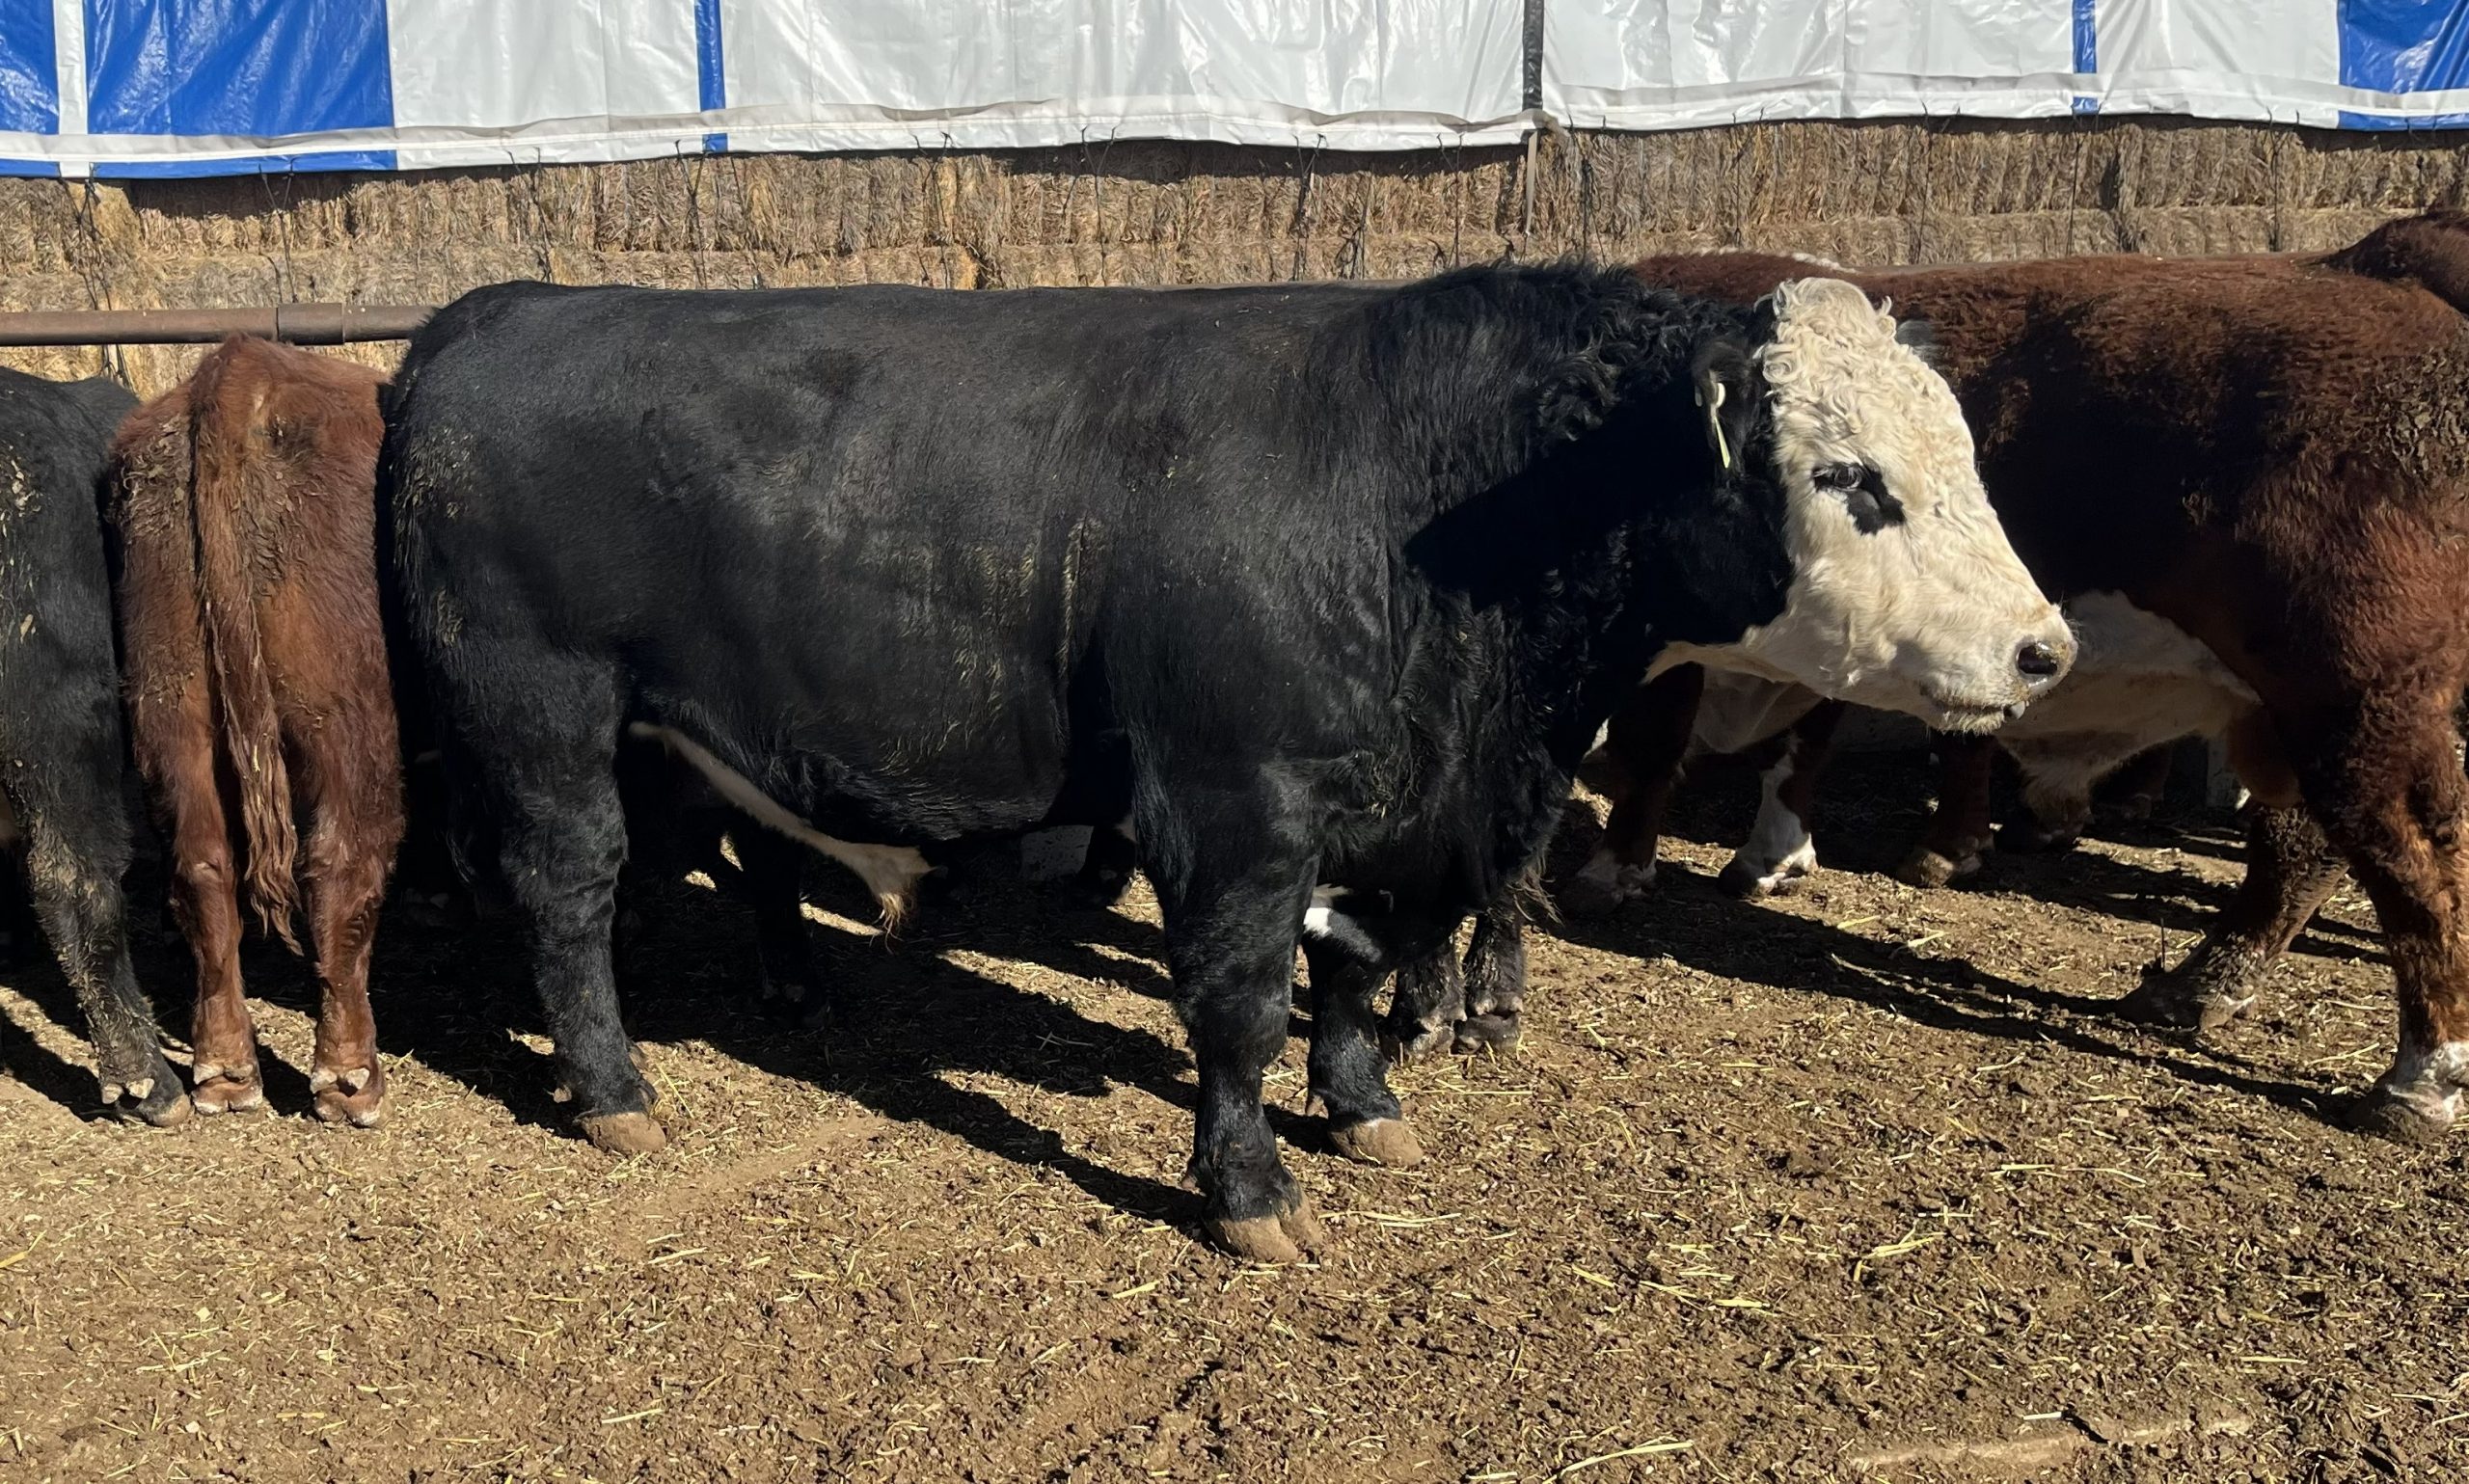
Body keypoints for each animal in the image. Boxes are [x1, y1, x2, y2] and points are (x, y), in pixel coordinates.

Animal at [111, 337, 402, 1126]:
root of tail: (243, 369)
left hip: (173, 708)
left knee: (202, 869)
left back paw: (225, 1071)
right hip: (349, 724)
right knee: (341, 870)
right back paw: (349, 1078)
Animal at [382, 266, 2068, 1260]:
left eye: (1963, 455)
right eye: (1852, 478)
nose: (2043, 649)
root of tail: (503, 309)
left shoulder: (1394, 810)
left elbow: (1356, 970)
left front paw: (1365, 1103)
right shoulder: (1238, 801)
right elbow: (1244, 1002)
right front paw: (1251, 1185)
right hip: (541, 716)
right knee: (566, 895)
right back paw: (612, 1083)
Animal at [1395, 212, 2469, 1144]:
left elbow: (1658, 746)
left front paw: (1616, 870)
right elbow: (1807, 734)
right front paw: (1776, 852)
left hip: (2353, 703)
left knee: (2408, 857)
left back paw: (2420, 1073)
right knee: (2303, 846)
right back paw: (2201, 983)